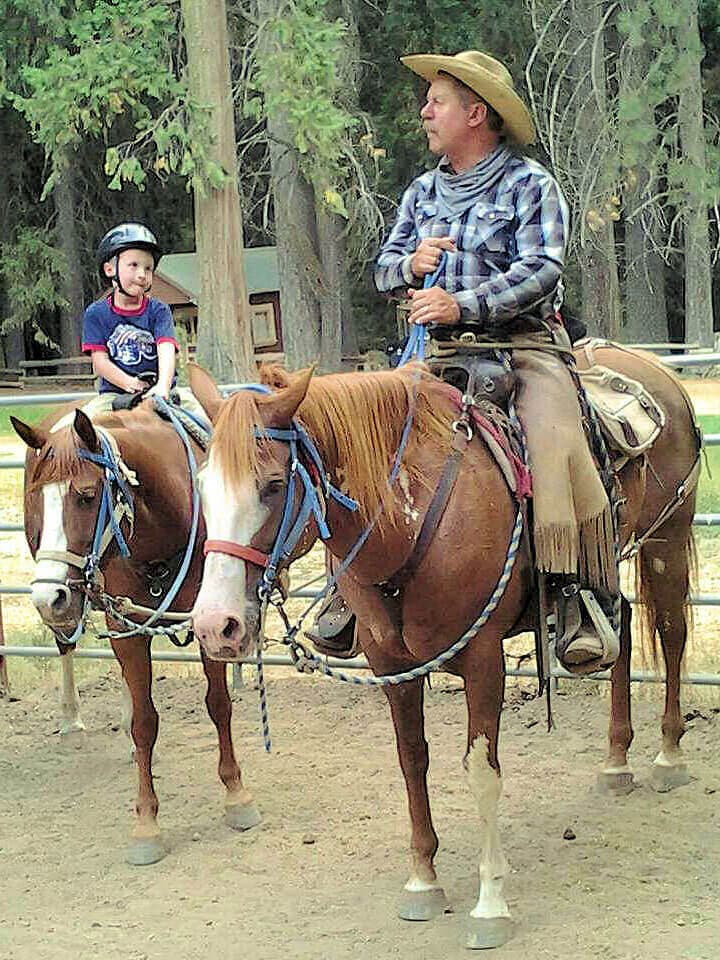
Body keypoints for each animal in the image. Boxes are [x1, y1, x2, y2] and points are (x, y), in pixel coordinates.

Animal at [13, 402, 262, 868]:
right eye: (38, 498)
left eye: (86, 495)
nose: (47, 597)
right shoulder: (124, 630)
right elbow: (146, 723)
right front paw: (147, 824)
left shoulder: (209, 622)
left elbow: (218, 705)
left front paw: (237, 796)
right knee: (66, 646)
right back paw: (71, 719)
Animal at [188, 346, 700, 952]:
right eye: (203, 484)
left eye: (271, 485)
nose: (215, 626)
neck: (409, 521)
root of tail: (654, 369)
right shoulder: (391, 665)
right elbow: (412, 760)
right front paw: (422, 881)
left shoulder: (483, 660)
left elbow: (481, 770)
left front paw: (490, 904)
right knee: (618, 633)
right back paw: (616, 762)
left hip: (667, 539)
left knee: (670, 634)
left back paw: (668, 756)